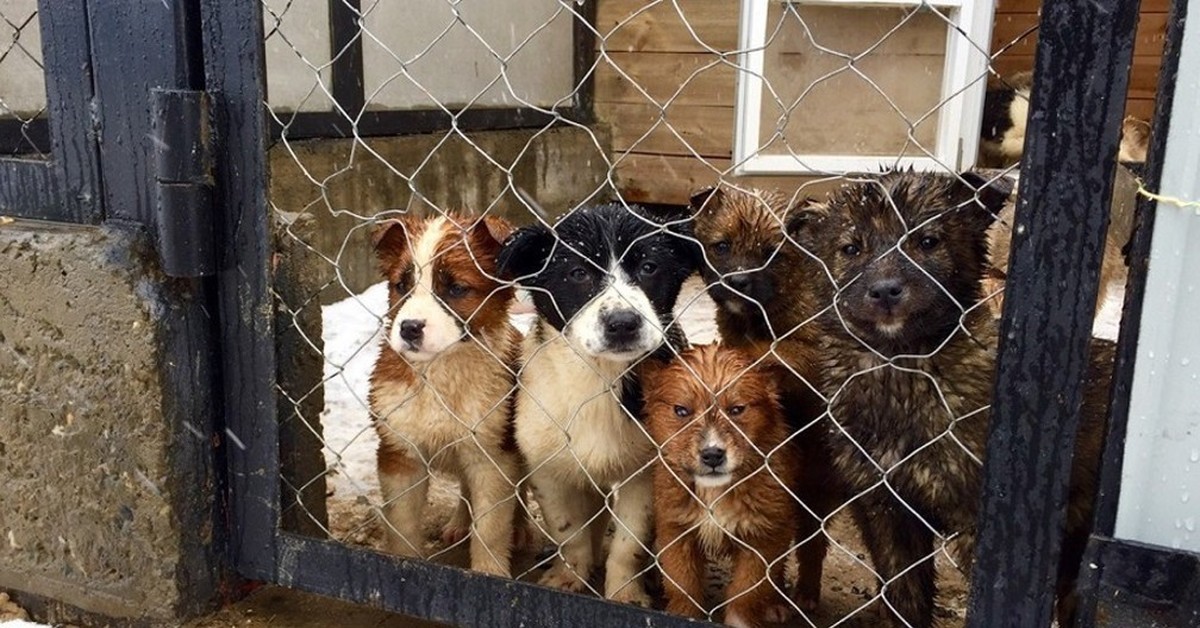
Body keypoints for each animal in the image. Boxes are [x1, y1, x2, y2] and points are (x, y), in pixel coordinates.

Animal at [367, 213, 523, 578]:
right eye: (402, 285)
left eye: (456, 289)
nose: (409, 328)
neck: (439, 371)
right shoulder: (400, 454)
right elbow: (402, 524)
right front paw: (404, 565)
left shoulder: (493, 456)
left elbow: (491, 528)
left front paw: (491, 573)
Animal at [496, 201, 700, 605]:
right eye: (577, 273)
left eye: (649, 267)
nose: (623, 323)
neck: (599, 377)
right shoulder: (549, 467)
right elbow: (569, 531)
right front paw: (569, 577)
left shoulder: (646, 472)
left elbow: (628, 543)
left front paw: (625, 593)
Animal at [643, 345, 801, 628]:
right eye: (681, 411)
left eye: (737, 410)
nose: (713, 455)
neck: (714, 491)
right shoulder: (675, 531)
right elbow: (683, 586)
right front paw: (682, 615)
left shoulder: (763, 537)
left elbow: (746, 594)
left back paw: (777, 603)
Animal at [691, 184, 840, 612]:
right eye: (721, 246)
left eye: (771, 252)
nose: (739, 281)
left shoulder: (810, 351)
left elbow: (767, 351)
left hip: (816, 491)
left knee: (809, 544)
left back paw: (802, 592)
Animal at [787, 169, 1113, 624]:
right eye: (851, 248)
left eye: (928, 241)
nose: (885, 291)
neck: (904, 375)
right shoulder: (885, 510)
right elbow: (903, 599)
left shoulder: (980, 522)